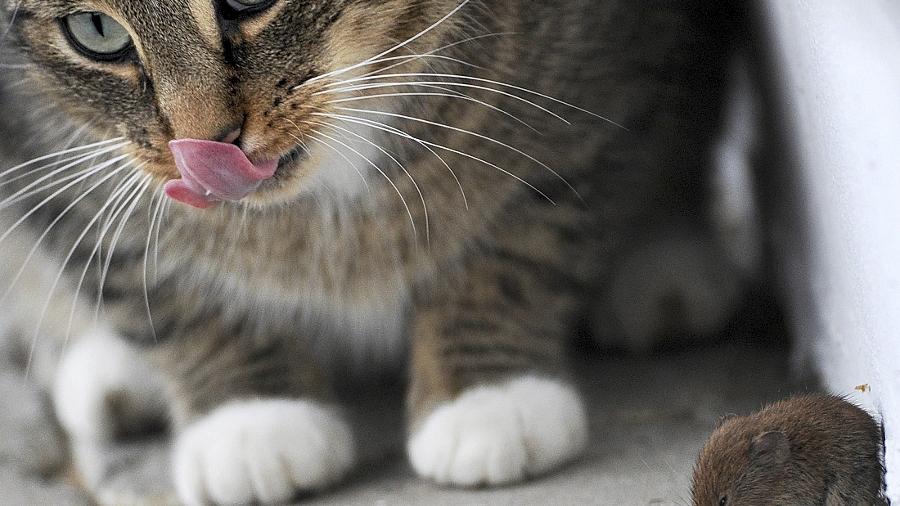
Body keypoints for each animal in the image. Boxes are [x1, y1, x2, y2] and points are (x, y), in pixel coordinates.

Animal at [1, 0, 740, 502]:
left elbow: (520, 239)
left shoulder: (591, 86)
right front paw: (252, 418)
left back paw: (663, 269)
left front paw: (488, 395)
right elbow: (153, 276)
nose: (206, 144)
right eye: (94, 29)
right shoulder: (43, 153)